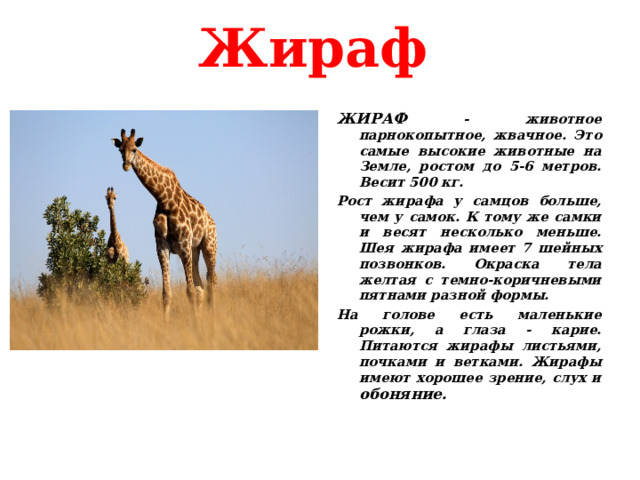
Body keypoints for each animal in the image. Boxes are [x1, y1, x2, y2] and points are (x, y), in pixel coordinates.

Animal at [111, 129, 217, 316]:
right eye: (120, 149)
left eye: (134, 149)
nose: (126, 165)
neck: (163, 199)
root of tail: (212, 221)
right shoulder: (162, 246)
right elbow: (167, 294)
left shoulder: (183, 245)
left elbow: (189, 291)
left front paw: (195, 323)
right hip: (195, 250)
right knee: (201, 287)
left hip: (209, 246)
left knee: (211, 281)